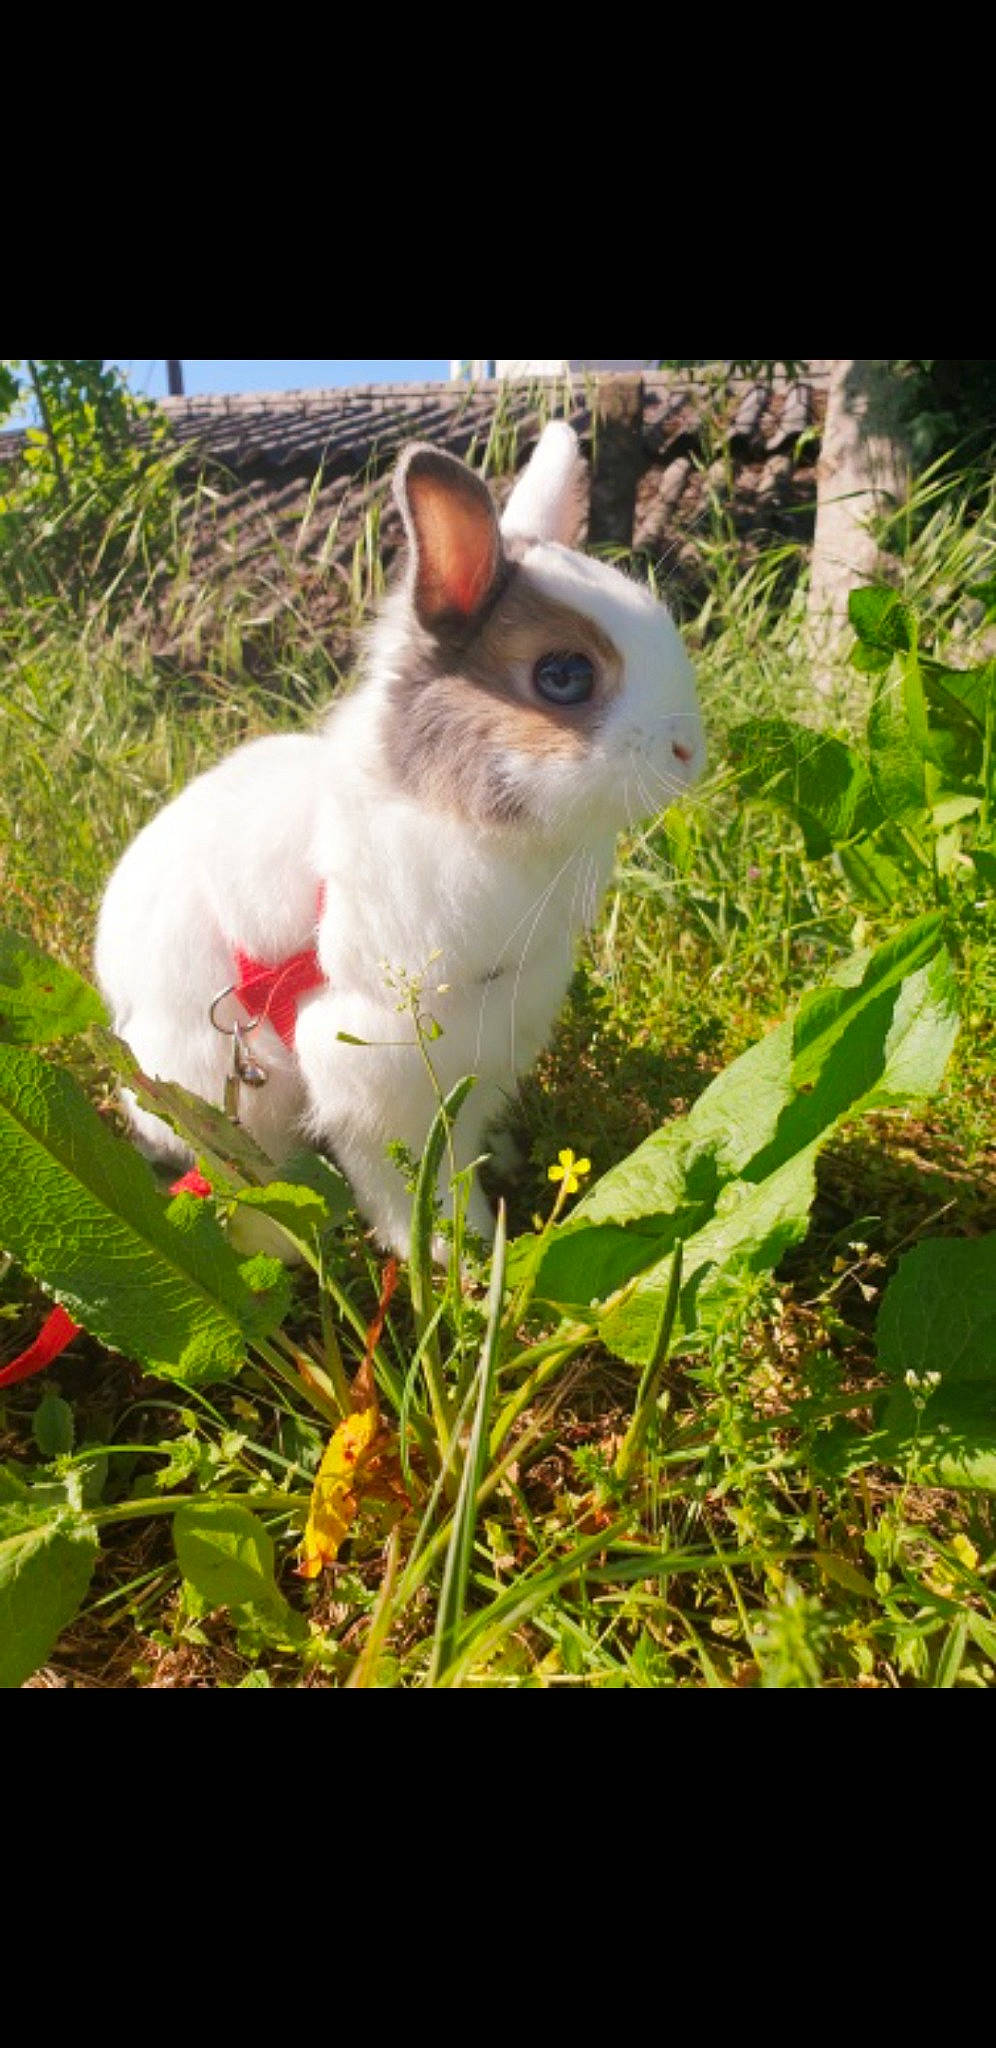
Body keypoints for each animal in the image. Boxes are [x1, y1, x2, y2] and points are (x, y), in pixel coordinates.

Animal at [95, 421, 705, 1257]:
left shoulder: (485, 1053)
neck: (453, 817)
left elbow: (462, 1146)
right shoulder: (368, 1066)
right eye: (563, 675)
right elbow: (402, 1180)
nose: (690, 752)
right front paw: (453, 1253)